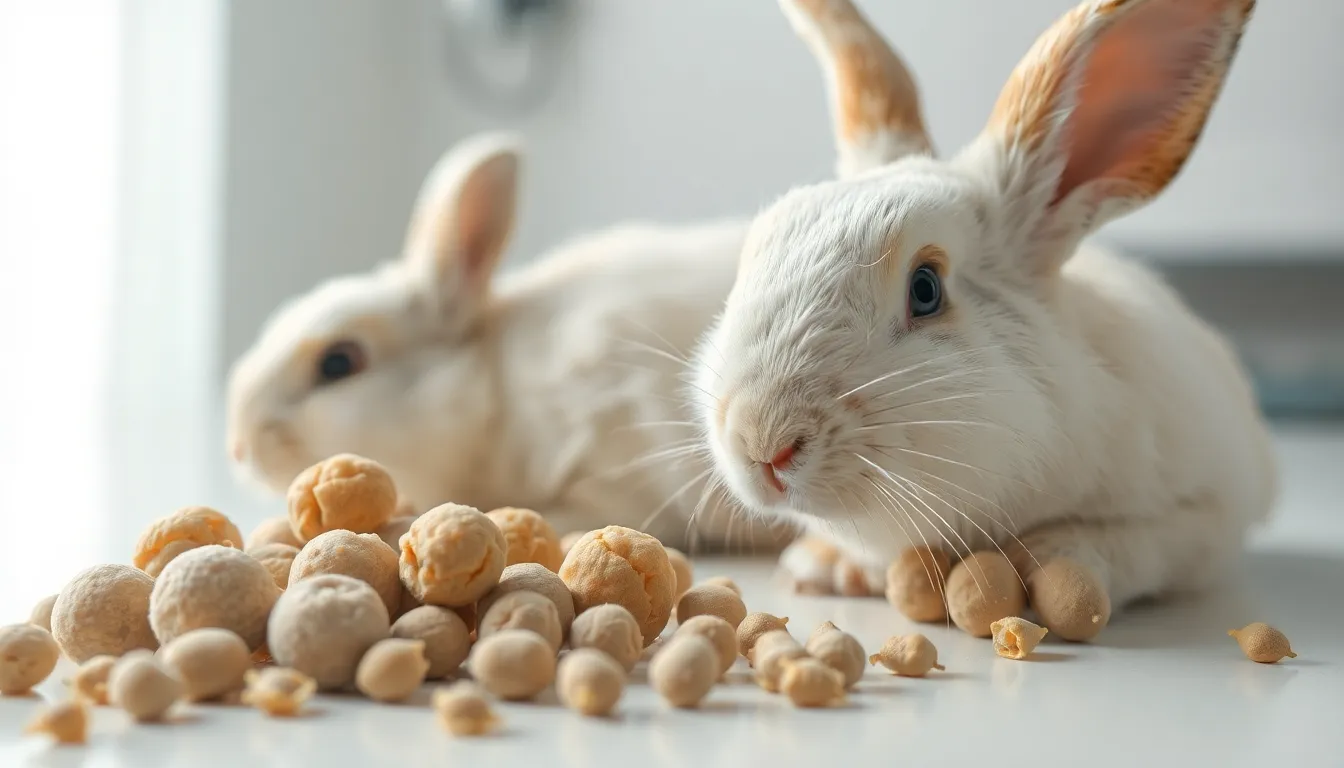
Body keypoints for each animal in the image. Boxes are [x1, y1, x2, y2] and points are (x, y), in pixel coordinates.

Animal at [692, 0, 1277, 640]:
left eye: (926, 289)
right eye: (756, 250)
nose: (760, 443)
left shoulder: (1206, 511)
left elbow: (1141, 544)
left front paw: (1052, 561)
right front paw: (822, 569)